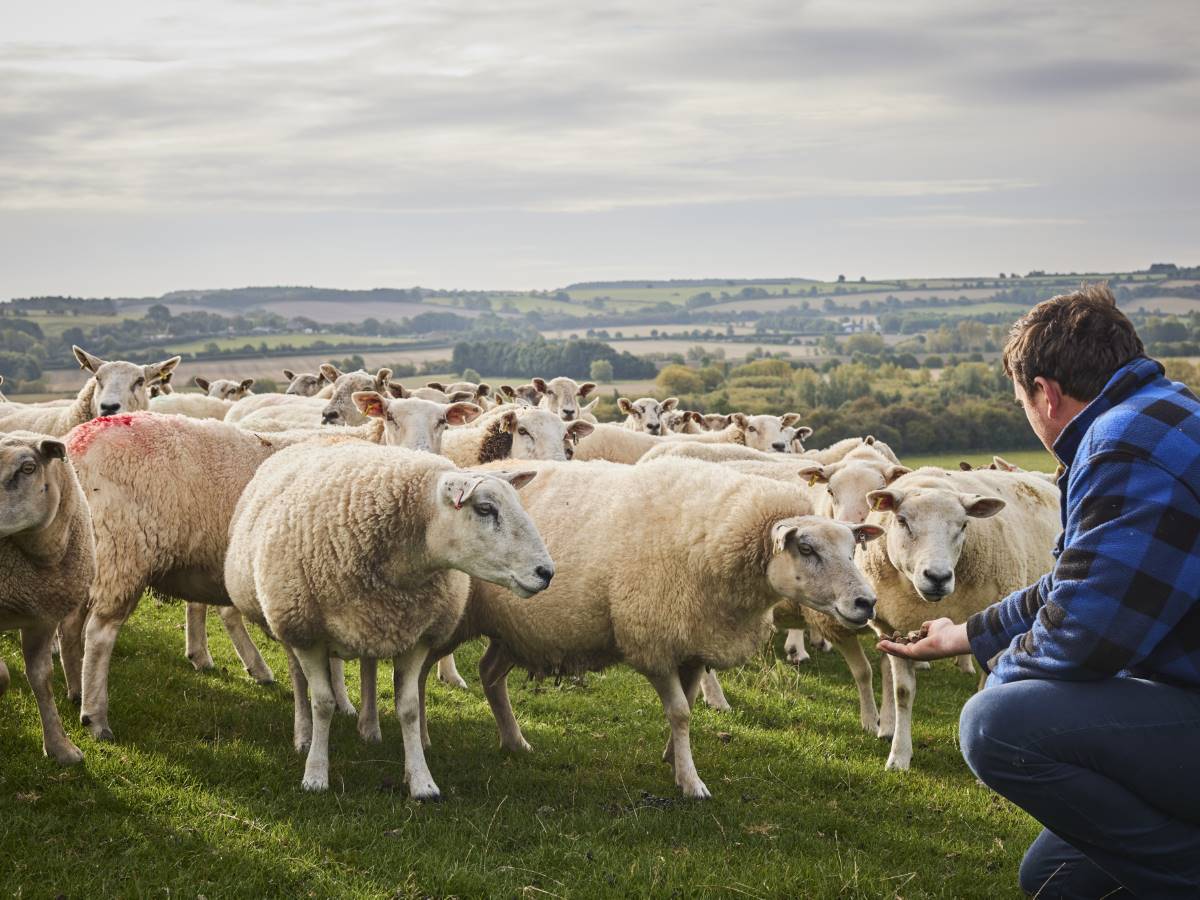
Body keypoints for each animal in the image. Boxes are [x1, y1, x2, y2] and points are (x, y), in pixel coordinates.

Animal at [225, 444, 552, 796]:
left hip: (374, 621)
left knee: (364, 664)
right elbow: (322, 703)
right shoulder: (305, 632)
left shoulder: (418, 635)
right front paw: (315, 775)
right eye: (485, 509)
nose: (546, 572)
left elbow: (408, 709)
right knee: (299, 679)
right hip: (288, 621)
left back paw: (368, 726)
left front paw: (421, 780)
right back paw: (304, 735)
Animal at [432, 460, 883, 801]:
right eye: (806, 549)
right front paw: (690, 780)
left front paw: (673, 755)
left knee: (490, 673)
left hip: (515, 630)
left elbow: (687, 702)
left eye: (852, 550)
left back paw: (514, 741)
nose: (867, 602)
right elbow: (681, 711)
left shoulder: (696, 642)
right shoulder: (655, 642)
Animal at [864, 468, 1060, 772]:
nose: (938, 577)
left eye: (964, 525)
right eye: (902, 521)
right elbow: (902, 693)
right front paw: (899, 756)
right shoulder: (897, 630)